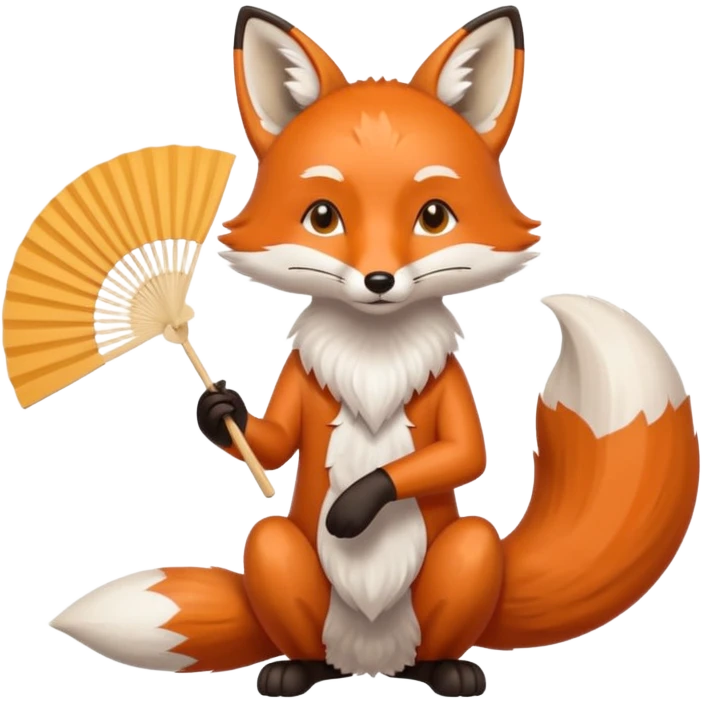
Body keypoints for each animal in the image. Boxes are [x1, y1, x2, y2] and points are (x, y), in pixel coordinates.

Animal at [47, 4, 700, 699]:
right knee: (283, 579)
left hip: (467, 555)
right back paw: (295, 671)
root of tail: (369, 661)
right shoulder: (300, 385)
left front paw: (356, 506)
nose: (379, 280)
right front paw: (220, 410)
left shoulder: (449, 389)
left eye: (434, 216)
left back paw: (447, 671)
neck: (374, 352)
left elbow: (461, 454)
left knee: (450, 607)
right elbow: (271, 443)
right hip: (277, 557)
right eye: (323, 216)